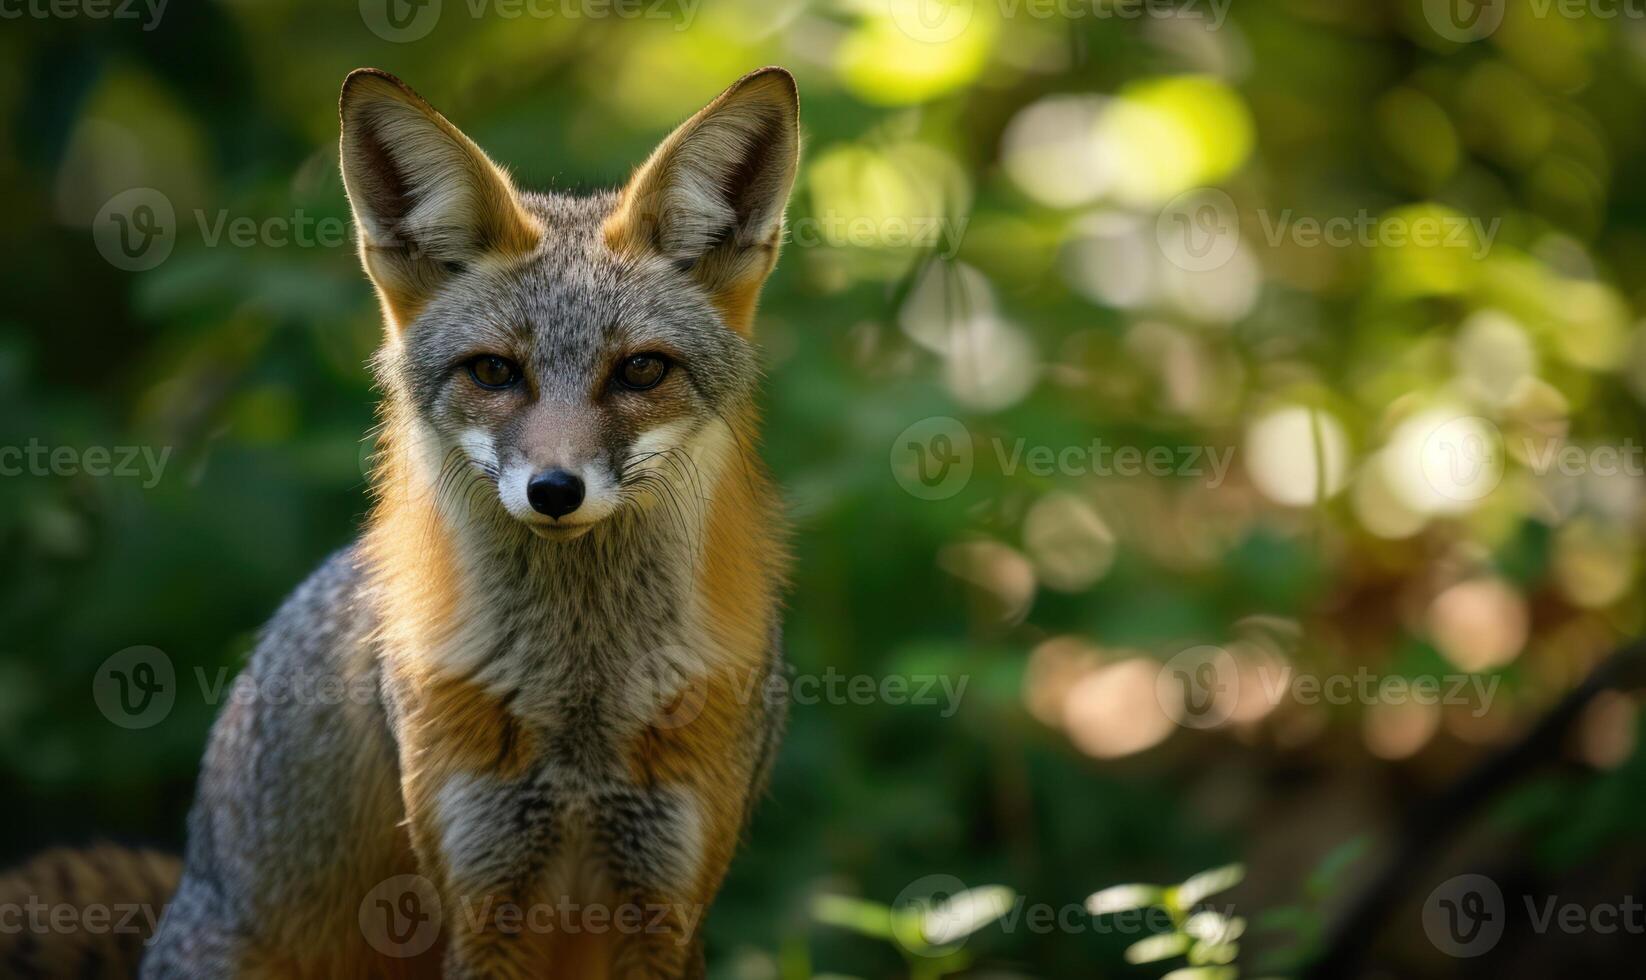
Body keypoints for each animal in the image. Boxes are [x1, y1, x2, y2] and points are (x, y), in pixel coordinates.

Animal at [4, 65, 796, 975]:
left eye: (640, 371)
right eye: (494, 372)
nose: (554, 490)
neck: (579, 706)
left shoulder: (664, 900)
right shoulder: (480, 896)